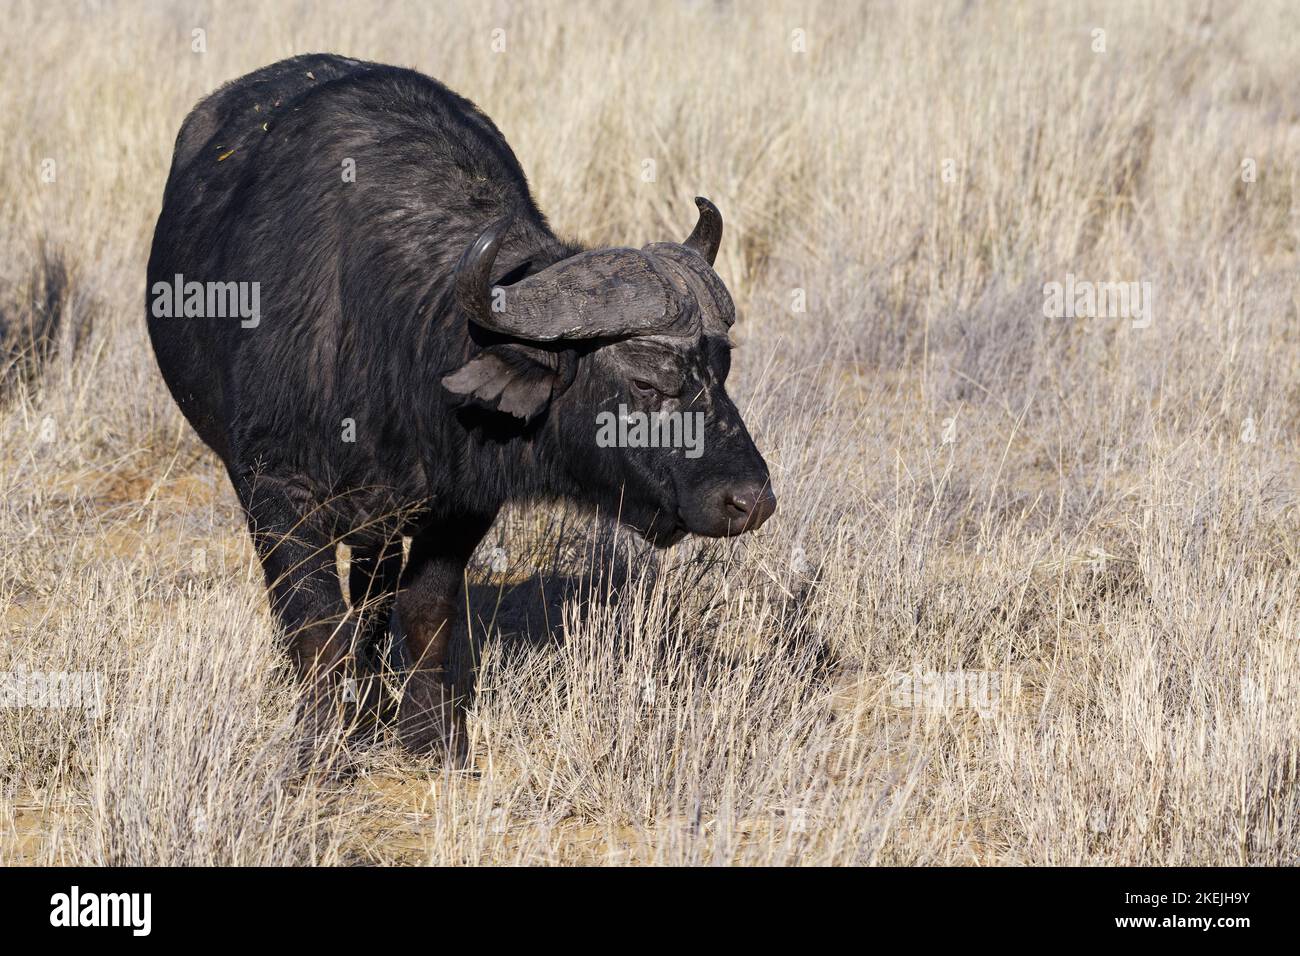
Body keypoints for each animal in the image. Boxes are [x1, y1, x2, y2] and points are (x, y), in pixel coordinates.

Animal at [144, 57, 769, 764]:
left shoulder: (461, 500)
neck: (386, 332)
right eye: (644, 380)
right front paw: (321, 741)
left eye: (722, 367)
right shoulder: (272, 486)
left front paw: (429, 736)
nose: (750, 501)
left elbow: (426, 609)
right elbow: (314, 621)